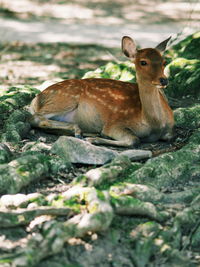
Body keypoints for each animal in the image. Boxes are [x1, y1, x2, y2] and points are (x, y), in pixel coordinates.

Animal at [28, 35, 174, 148]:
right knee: (35, 118)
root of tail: (36, 99)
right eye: (143, 62)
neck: (154, 123)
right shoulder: (114, 123)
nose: (163, 80)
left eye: (164, 62)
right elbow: (134, 139)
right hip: (63, 100)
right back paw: (79, 132)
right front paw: (95, 139)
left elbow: (168, 136)